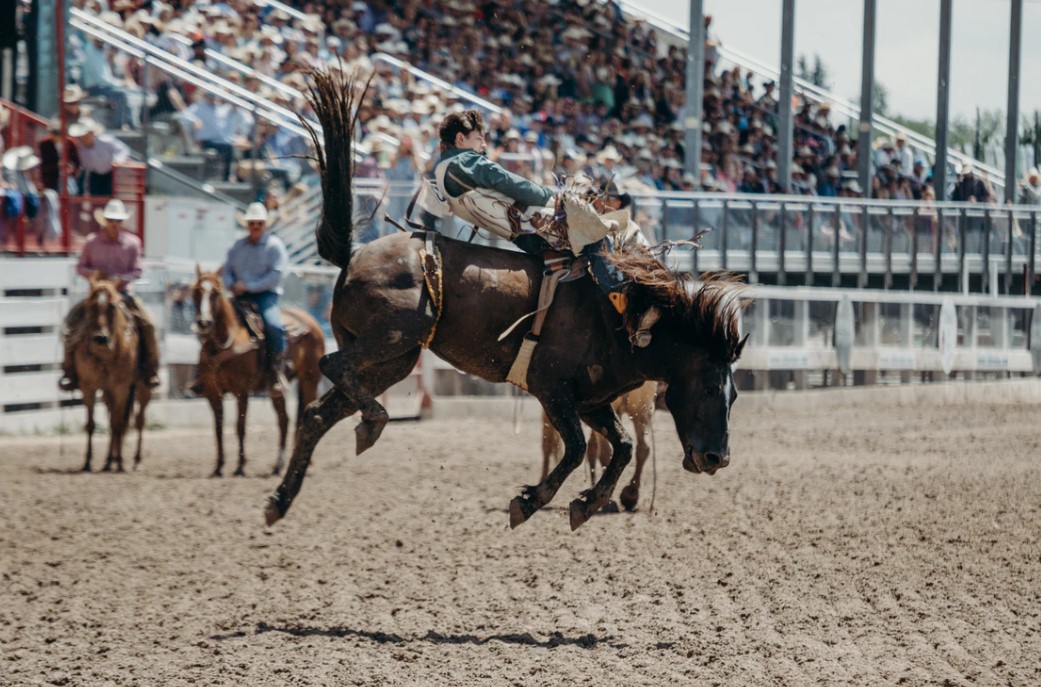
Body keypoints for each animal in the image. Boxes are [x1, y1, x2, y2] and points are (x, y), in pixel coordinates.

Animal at [71, 276, 154, 470]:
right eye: (90, 305)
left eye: (113, 307)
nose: (100, 338)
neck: (106, 355)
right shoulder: (89, 387)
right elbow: (92, 424)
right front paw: (87, 462)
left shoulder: (121, 387)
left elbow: (118, 424)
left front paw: (121, 462)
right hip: (108, 392)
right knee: (114, 419)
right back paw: (109, 461)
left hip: (143, 388)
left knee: (138, 421)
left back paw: (134, 461)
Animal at [191, 268, 324, 476]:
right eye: (196, 291)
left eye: (216, 293)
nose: (204, 322)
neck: (224, 342)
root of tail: (311, 322)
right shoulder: (212, 393)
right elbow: (218, 428)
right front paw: (219, 466)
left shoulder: (242, 390)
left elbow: (240, 426)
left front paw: (240, 466)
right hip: (276, 389)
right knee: (284, 420)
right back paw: (279, 465)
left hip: (310, 380)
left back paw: (306, 462)